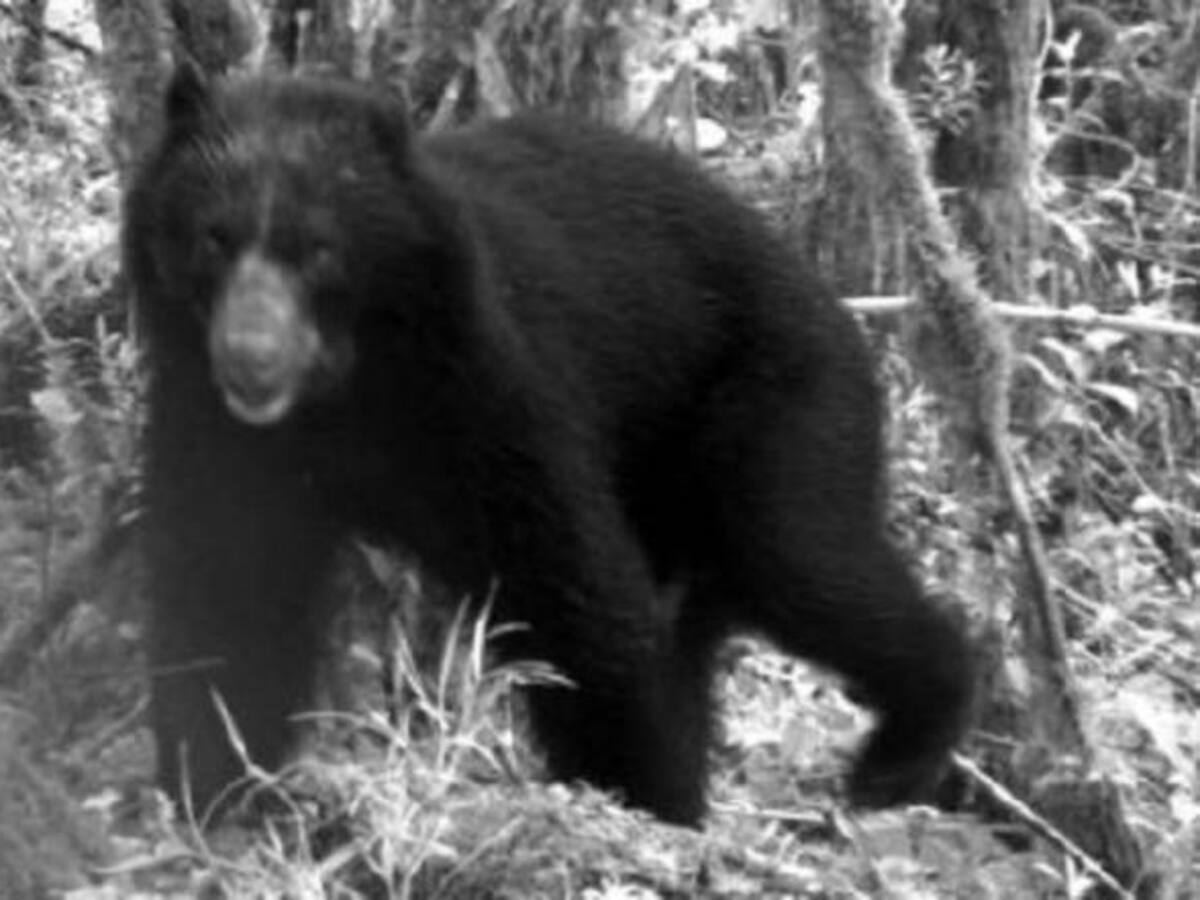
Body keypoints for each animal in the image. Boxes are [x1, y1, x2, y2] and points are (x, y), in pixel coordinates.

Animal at [122, 63, 975, 826]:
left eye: (319, 249)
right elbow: (226, 588)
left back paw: (904, 745)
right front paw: (209, 788)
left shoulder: (488, 389)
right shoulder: (212, 423)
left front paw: (633, 792)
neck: (345, 391)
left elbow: (575, 587)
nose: (249, 356)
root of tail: (835, 303)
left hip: (775, 403)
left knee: (805, 563)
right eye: (212, 239)